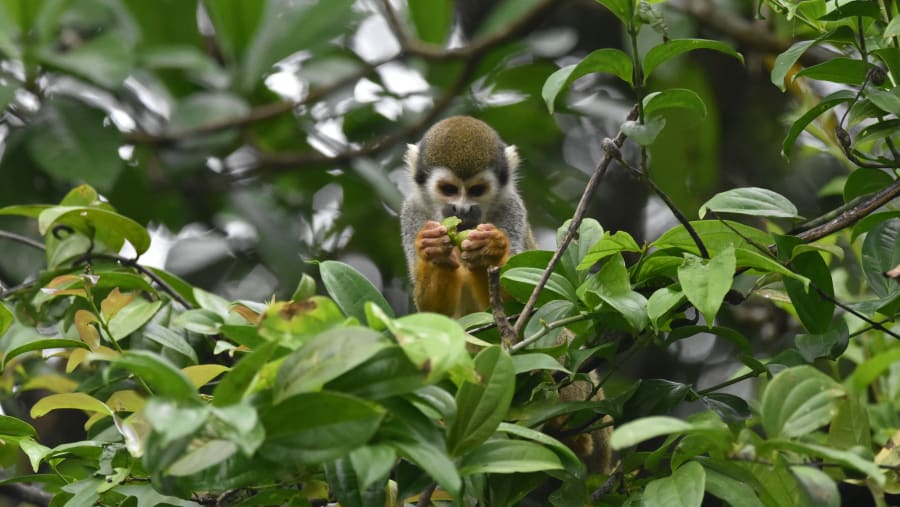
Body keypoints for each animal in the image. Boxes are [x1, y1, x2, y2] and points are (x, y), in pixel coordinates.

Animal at [400, 115, 536, 317]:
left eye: (477, 190)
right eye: (449, 189)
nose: (461, 209)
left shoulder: (511, 208)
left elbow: (519, 306)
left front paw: (487, 251)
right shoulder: (412, 211)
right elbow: (433, 312)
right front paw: (436, 251)